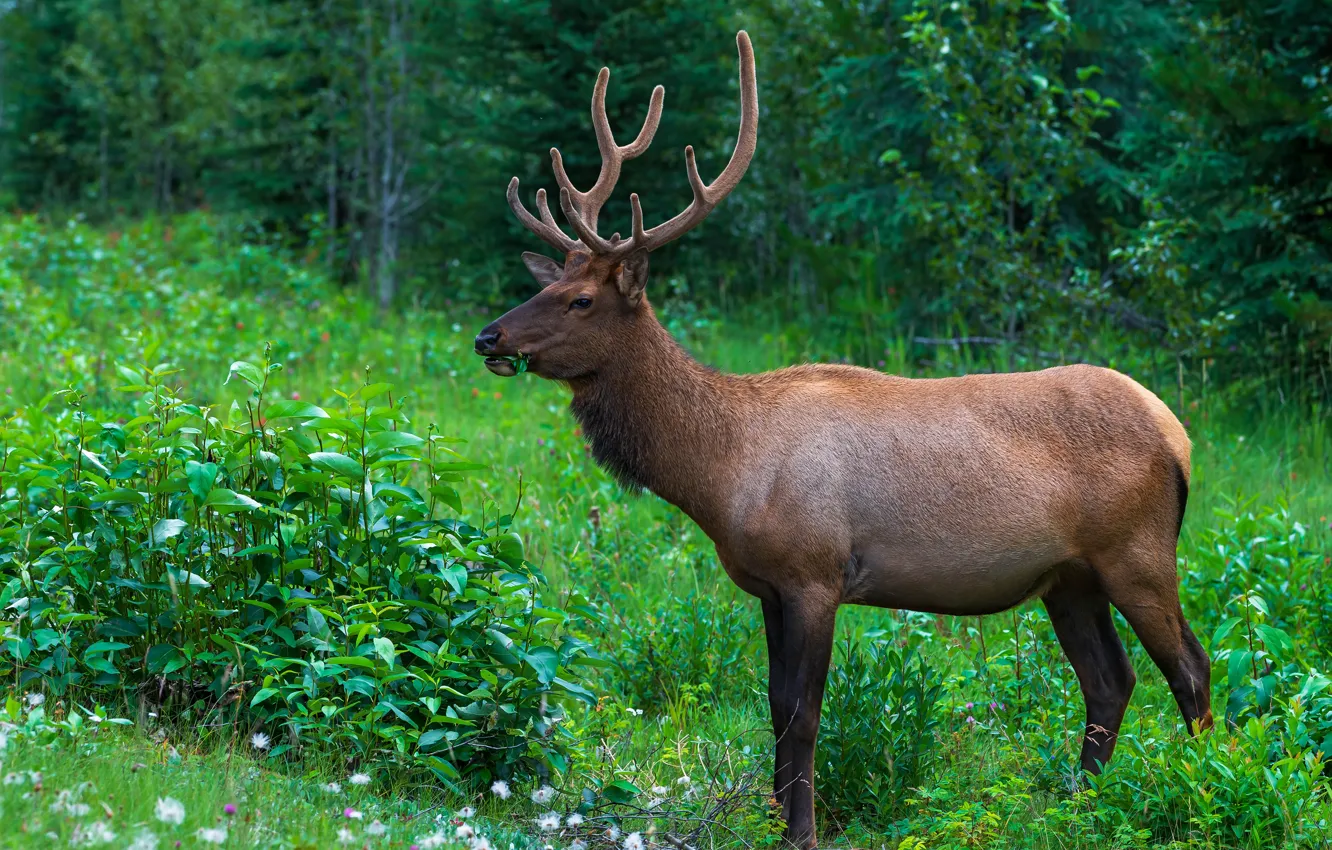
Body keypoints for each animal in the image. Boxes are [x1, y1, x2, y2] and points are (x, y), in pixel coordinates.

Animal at [474, 31, 1213, 849]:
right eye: (541, 283)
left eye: (578, 299)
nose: (489, 336)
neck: (720, 474)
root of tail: (1177, 435)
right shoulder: (766, 584)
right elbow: (771, 707)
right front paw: (772, 821)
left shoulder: (816, 573)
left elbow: (803, 714)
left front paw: (801, 830)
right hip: (1069, 576)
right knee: (1110, 680)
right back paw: (1076, 808)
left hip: (1137, 550)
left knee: (1190, 668)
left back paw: (1209, 790)